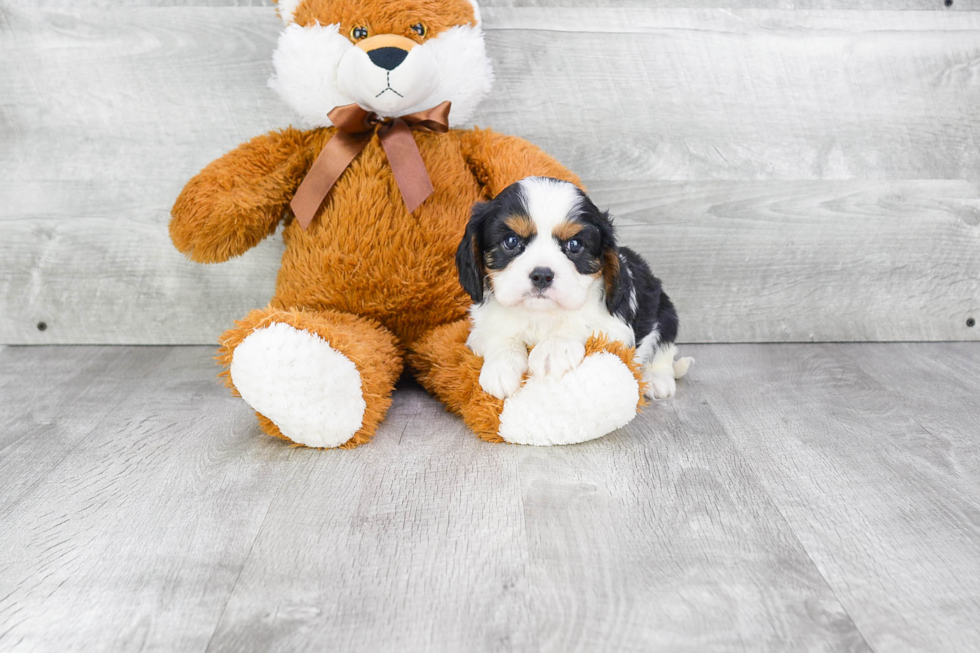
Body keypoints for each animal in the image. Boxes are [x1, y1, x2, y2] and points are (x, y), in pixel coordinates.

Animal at [456, 178, 692, 402]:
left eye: (575, 245)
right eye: (511, 241)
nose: (542, 275)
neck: (540, 314)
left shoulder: (616, 329)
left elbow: (583, 323)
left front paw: (553, 349)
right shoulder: (479, 330)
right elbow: (499, 333)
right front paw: (502, 365)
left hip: (665, 312)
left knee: (663, 349)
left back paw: (657, 379)